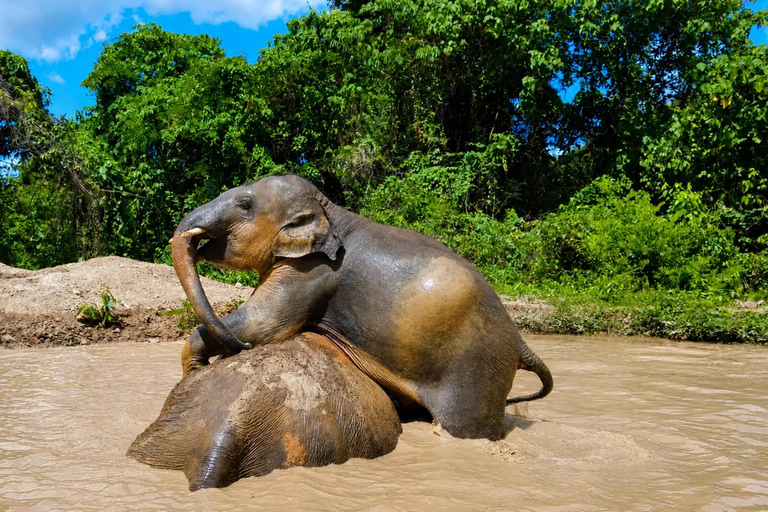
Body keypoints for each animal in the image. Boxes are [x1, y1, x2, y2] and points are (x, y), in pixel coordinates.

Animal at [171, 174, 553, 440]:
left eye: (244, 205)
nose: (238, 349)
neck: (329, 208)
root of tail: (521, 342)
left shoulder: (313, 272)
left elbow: (267, 324)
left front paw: (198, 367)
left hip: (477, 370)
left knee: (464, 427)